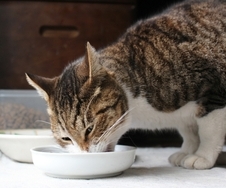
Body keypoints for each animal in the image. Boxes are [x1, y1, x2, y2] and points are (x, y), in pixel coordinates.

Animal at [26, 0, 226, 170]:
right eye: (66, 138)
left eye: (90, 129)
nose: (86, 154)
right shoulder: (185, 117)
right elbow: (189, 131)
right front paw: (187, 151)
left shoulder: (214, 91)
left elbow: (208, 132)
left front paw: (202, 156)